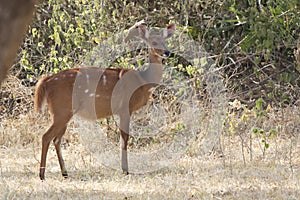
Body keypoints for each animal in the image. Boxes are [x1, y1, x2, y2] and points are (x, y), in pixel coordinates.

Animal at [34, 21, 176, 180]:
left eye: (165, 41)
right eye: (154, 42)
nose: (167, 52)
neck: (143, 81)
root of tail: (46, 82)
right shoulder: (125, 108)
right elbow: (124, 138)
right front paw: (125, 170)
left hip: (63, 113)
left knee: (56, 139)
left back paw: (65, 173)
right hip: (62, 111)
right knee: (46, 136)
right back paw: (42, 175)